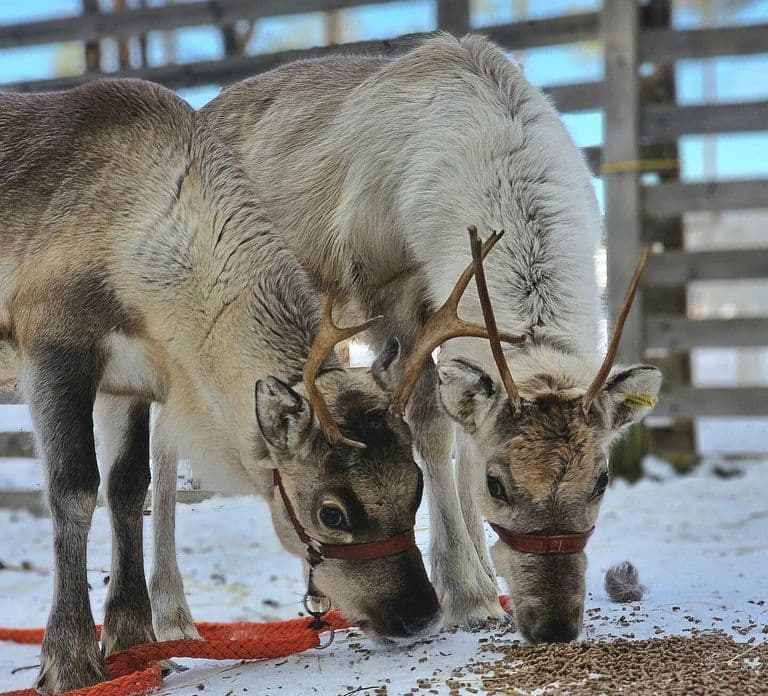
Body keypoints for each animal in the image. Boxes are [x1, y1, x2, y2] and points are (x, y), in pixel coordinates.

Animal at [0, 78, 516, 692]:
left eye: (414, 486)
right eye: (331, 513)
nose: (419, 616)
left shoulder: (131, 382)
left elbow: (127, 488)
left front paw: (135, 641)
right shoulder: (53, 341)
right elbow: (75, 489)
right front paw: (71, 661)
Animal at [200, 32, 663, 642]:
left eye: (602, 480)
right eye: (498, 484)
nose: (555, 625)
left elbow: (462, 431)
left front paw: (486, 580)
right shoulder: (391, 291)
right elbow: (432, 428)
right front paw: (467, 596)